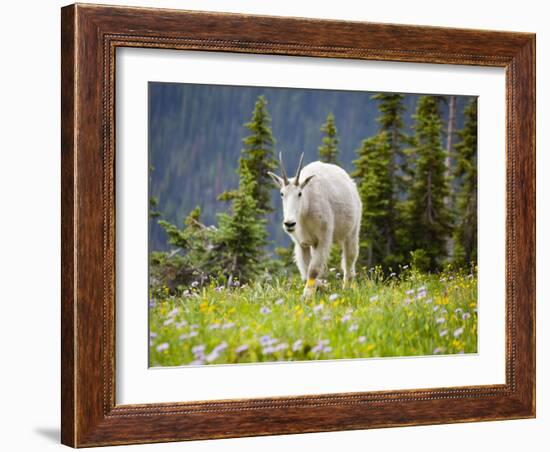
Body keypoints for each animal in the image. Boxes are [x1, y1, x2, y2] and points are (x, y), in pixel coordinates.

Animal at [268, 154, 362, 298]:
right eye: (281, 193)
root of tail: (351, 182)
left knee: (349, 262)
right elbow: (306, 272)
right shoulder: (302, 243)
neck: (305, 211)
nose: (289, 223)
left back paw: (346, 288)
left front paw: (307, 296)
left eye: (300, 193)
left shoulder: (323, 238)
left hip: (352, 232)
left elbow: (313, 270)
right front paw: (322, 286)